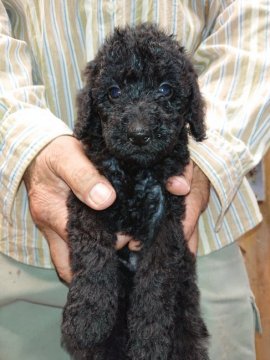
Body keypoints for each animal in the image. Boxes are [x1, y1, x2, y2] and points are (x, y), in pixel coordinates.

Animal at [62, 23, 209, 358]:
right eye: (114, 92)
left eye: (166, 89)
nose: (139, 134)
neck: (136, 171)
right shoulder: (92, 198)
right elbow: (94, 256)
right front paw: (87, 316)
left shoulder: (166, 220)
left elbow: (156, 280)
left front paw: (150, 338)